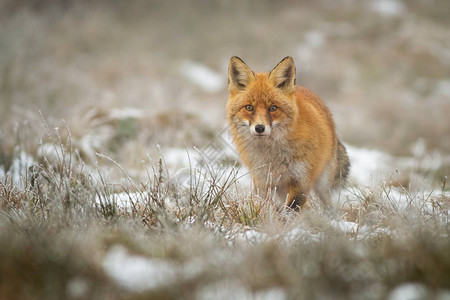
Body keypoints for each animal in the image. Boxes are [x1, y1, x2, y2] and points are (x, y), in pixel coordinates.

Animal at [227, 56, 350, 211]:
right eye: (249, 107)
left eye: (273, 108)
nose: (260, 128)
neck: (272, 157)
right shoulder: (262, 182)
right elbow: (268, 207)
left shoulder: (301, 179)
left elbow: (291, 208)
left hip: (323, 185)